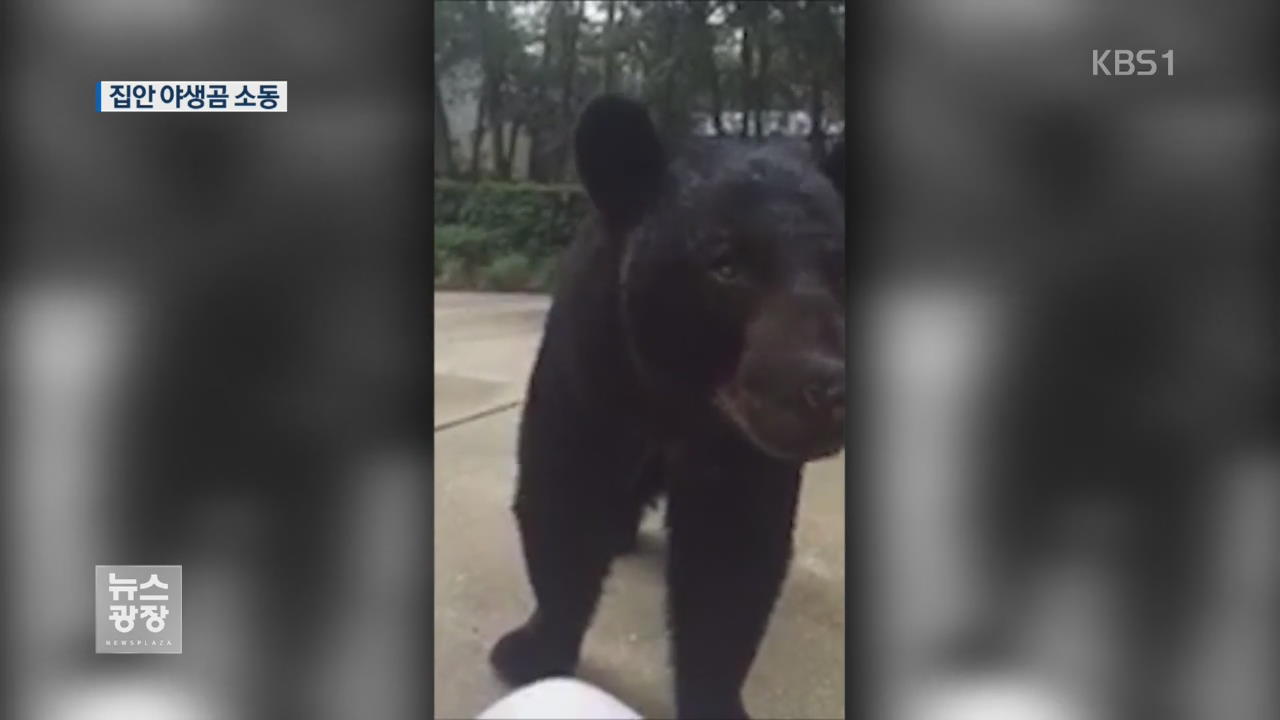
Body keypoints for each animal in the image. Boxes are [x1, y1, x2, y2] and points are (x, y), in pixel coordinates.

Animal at [491, 96, 849, 717]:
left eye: (839, 265)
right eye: (725, 264)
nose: (824, 389)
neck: (679, 399)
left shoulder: (741, 447)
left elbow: (730, 556)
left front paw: (715, 696)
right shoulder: (591, 371)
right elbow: (563, 497)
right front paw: (531, 651)